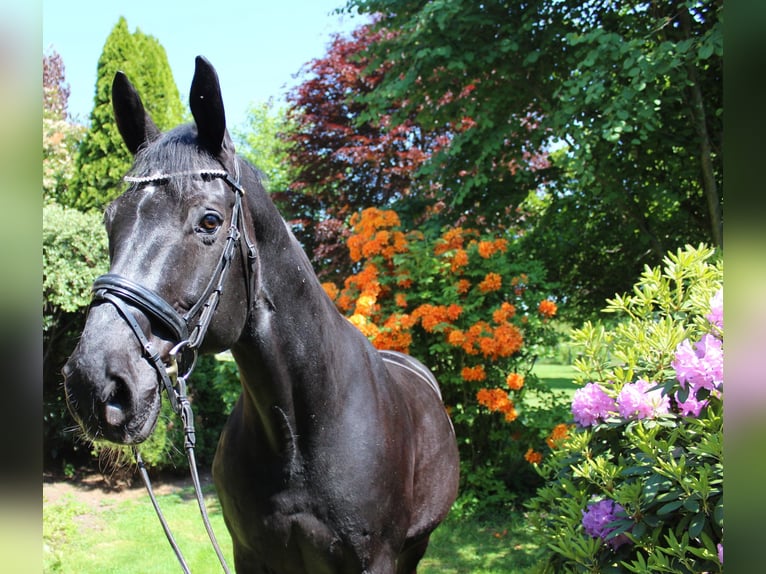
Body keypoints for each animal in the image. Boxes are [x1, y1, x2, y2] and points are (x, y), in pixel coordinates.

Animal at [63, 55, 460, 574]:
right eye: (111, 220)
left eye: (210, 221)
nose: (94, 381)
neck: (299, 430)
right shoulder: (250, 554)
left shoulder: (376, 560)